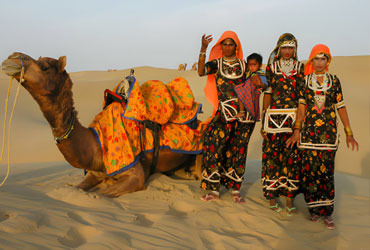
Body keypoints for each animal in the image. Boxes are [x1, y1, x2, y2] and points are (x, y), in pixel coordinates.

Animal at [0, 52, 202, 197]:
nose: (12, 57)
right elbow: (75, 188)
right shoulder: (94, 173)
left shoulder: (135, 175)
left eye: (44, 66)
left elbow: (104, 194)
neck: (95, 143)